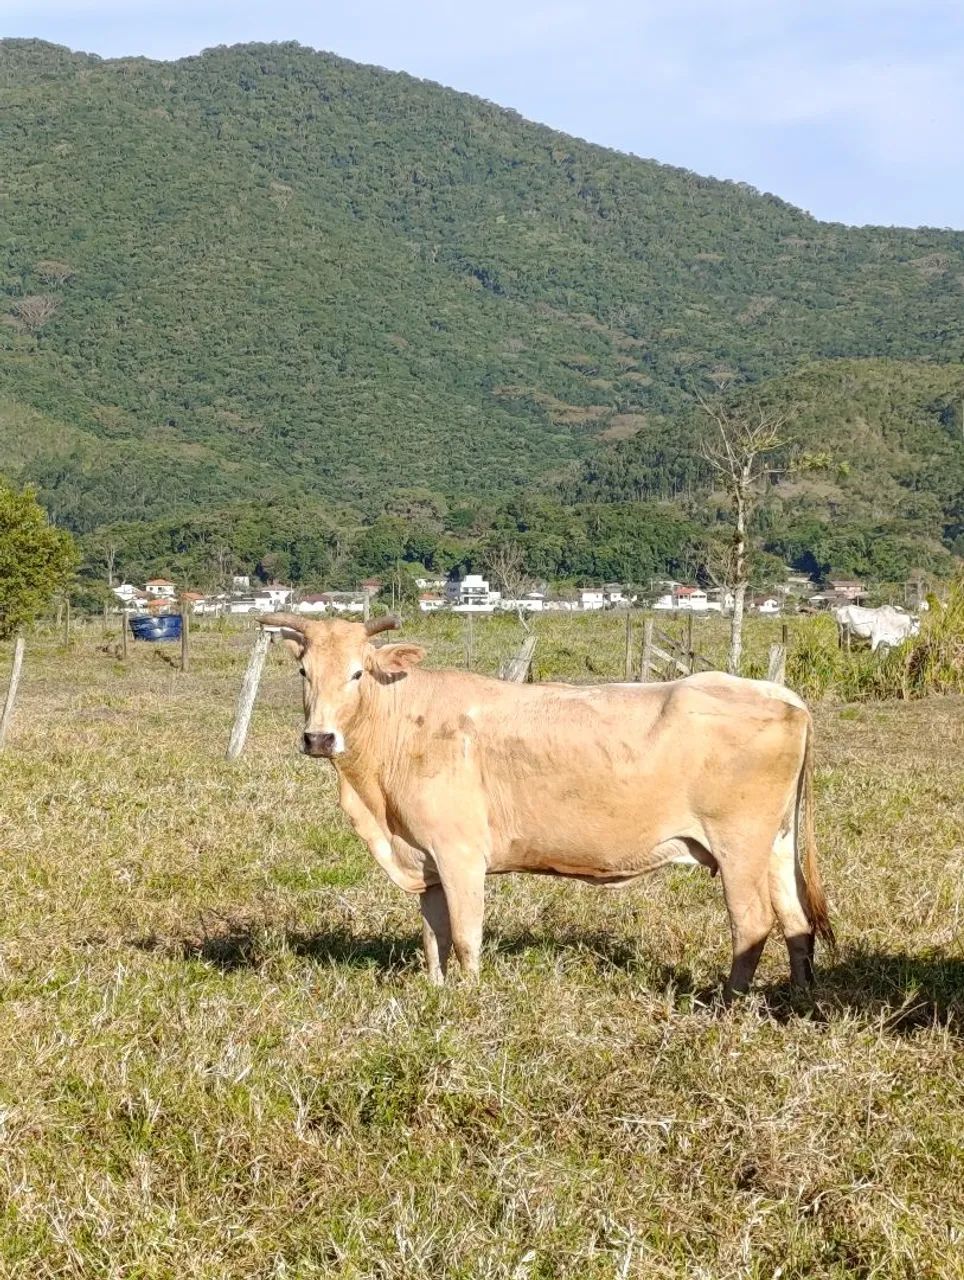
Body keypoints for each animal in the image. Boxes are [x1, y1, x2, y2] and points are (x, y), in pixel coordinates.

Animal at [259, 613, 834, 997]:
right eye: (304, 672)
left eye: (358, 672)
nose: (319, 738)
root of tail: (781, 694)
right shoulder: (426, 861)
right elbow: (432, 937)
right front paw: (437, 993)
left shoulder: (460, 854)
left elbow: (465, 937)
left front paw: (469, 1001)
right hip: (774, 845)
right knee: (796, 922)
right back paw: (801, 997)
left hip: (739, 846)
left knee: (753, 923)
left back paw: (729, 1002)